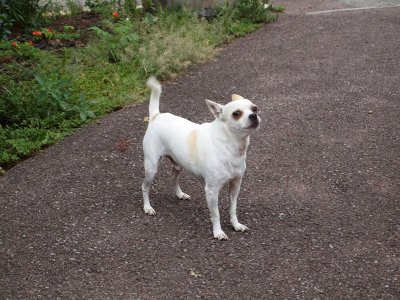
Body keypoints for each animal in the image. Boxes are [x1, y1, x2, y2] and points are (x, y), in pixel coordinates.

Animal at [142, 77, 260, 239]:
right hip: (151, 168)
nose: (253, 116)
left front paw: (236, 225)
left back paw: (179, 194)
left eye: (255, 108)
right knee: (145, 187)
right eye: (236, 113)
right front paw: (218, 232)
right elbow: (216, 214)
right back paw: (147, 207)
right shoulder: (211, 190)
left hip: (178, 164)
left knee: (173, 177)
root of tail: (156, 116)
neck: (230, 146)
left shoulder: (235, 185)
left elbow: (233, 208)